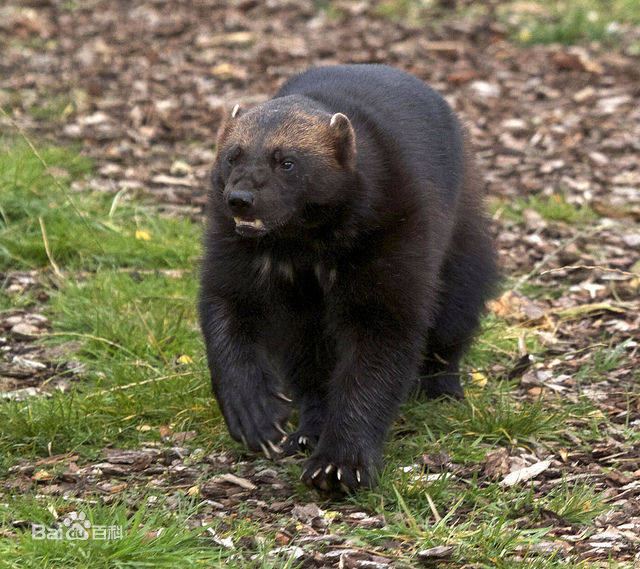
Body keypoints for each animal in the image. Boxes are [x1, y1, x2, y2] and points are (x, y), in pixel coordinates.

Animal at [199, 64, 497, 492]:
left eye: (286, 161)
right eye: (232, 155)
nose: (240, 198)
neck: (305, 245)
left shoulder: (392, 237)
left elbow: (378, 349)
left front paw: (340, 463)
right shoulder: (235, 248)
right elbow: (227, 308)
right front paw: (255, 413)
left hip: (462, 250)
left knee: (454, 318)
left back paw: (442, 388)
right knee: (308, 357)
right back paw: (307, 430)